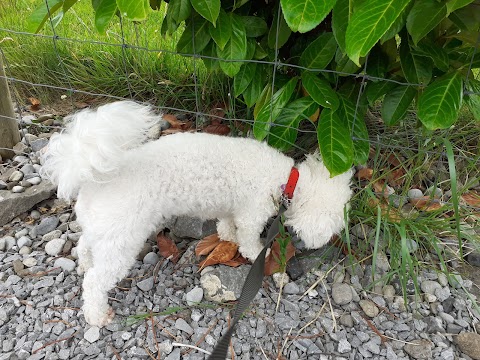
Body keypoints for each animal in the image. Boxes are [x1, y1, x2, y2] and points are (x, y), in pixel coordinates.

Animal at [41, 101, 352, 326]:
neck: (287, 180)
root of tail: (93, 178)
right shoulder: (252, 211)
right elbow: (249, 237)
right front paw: (255, 253)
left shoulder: (232, 207)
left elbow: (228, 224)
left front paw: (227, 235)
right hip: (121, 239)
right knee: (95, 282)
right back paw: (96, 315)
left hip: (103, 229)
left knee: (84, 247)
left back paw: (84, 264)